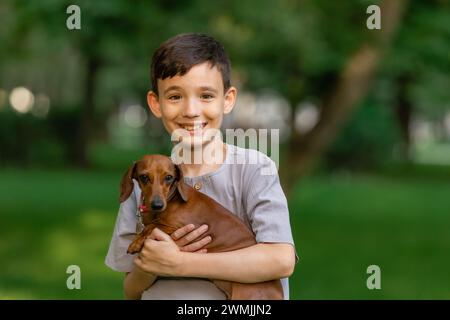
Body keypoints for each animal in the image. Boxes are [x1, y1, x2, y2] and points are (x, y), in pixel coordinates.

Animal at [118, 155, 282, 300]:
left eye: (169, 177)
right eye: (144, 177)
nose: (157, 205)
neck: (172, 199)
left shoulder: (179, 227)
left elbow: (153, 225)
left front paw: (135, 242)